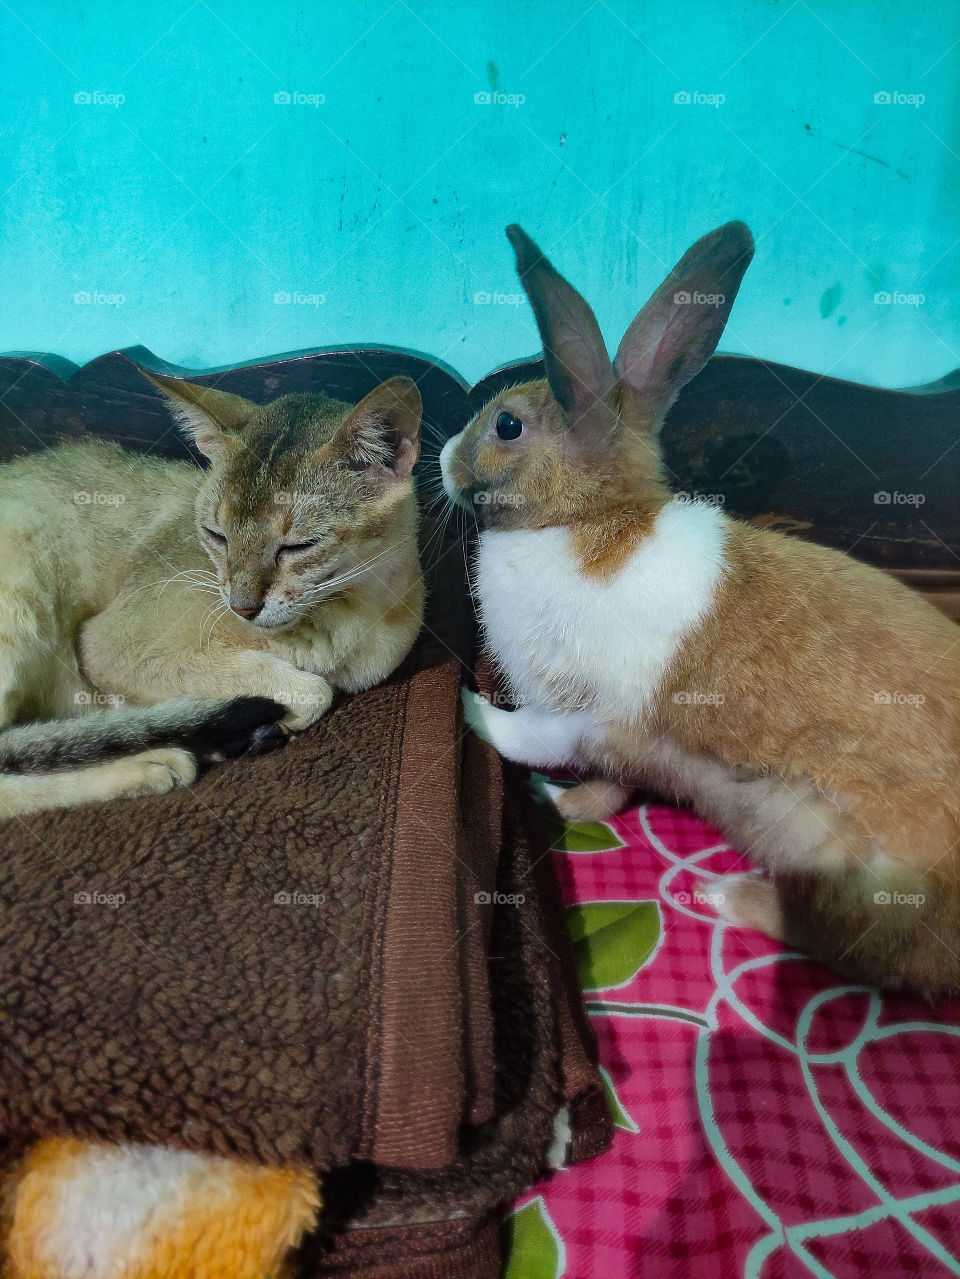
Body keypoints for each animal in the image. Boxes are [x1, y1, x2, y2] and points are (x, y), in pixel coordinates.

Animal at [440, 220, 960, 1000]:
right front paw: (565, 805)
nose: (442, 456)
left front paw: (474, 714)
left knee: (845, 947)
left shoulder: (572, 710)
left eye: (507, 426)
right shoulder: (616, 751)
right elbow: (607, 793)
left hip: (834, 857)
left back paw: (725, 895)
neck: (586, 521)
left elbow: (524, 738)